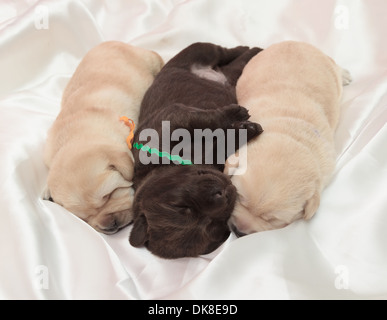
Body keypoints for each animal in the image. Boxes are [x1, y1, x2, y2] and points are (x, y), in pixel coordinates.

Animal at [43, 41, 164, 234]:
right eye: (84, 218)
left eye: (108, 195)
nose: (110, 225)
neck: (75, 135)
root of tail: (110, 42)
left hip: (148, 59)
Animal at [130, 42, 264, 258]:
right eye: (211, 225)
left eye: (180, 206)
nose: (221, 194)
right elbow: (223, 141)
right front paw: (246, 130)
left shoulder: (174, 117)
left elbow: (205, 119)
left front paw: (235, 114)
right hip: (227, 74)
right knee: (235, 68)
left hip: (198, 51)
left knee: (224, 52)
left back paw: (251, 49)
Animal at [226, 40, 354, 235]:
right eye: (239, 197)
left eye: (273, 220)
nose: (239, 231)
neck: (289, 132)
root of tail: (296, 42)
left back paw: (344, 74)